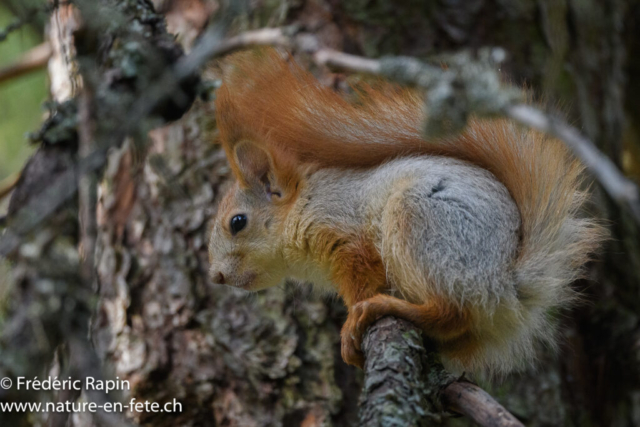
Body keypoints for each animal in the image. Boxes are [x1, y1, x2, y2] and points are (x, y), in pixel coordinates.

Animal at [208, 48, 605, 376]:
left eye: (237, 222)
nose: (216, 277)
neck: (301, 206)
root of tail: (505, 286)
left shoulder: (343, 231)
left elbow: (361, 276)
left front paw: (352, 320)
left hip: (420, 224)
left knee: (452, 313)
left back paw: (391, 308)